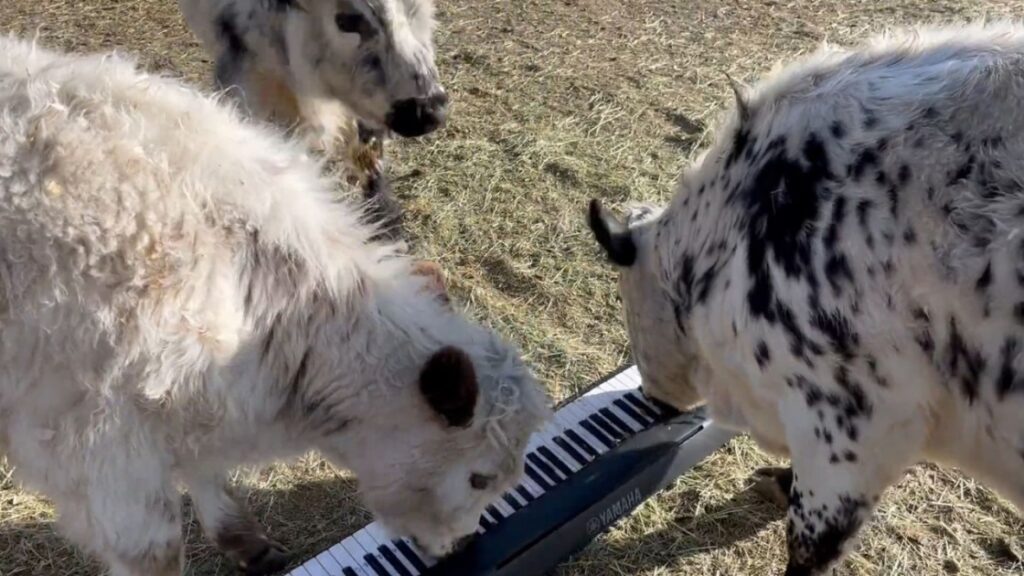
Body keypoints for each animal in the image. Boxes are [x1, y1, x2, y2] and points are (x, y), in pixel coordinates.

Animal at [0, 35, 546, 576]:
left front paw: (245, 541)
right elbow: (157, 552)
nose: (462, 545)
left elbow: (208, 474)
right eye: (479, 478)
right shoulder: (102, 447)